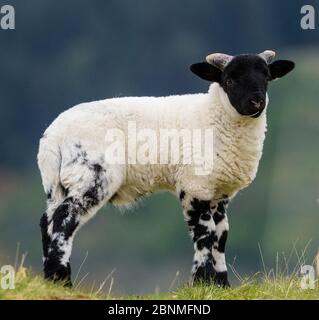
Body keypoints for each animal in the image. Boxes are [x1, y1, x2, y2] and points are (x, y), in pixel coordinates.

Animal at [37, 50, 296, 288]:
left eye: (266, 77)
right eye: (230, 80)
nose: (256, 102)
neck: (213, 115)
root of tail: (53, 136)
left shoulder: (219, 192)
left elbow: (221, 235)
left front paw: (220, 284)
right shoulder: (194, 186)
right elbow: (205, 234)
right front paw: (202, 282)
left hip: (57, 183)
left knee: (47, 220)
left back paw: (50, 279)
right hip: (91, 175)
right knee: (64, 218)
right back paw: (63, 279)